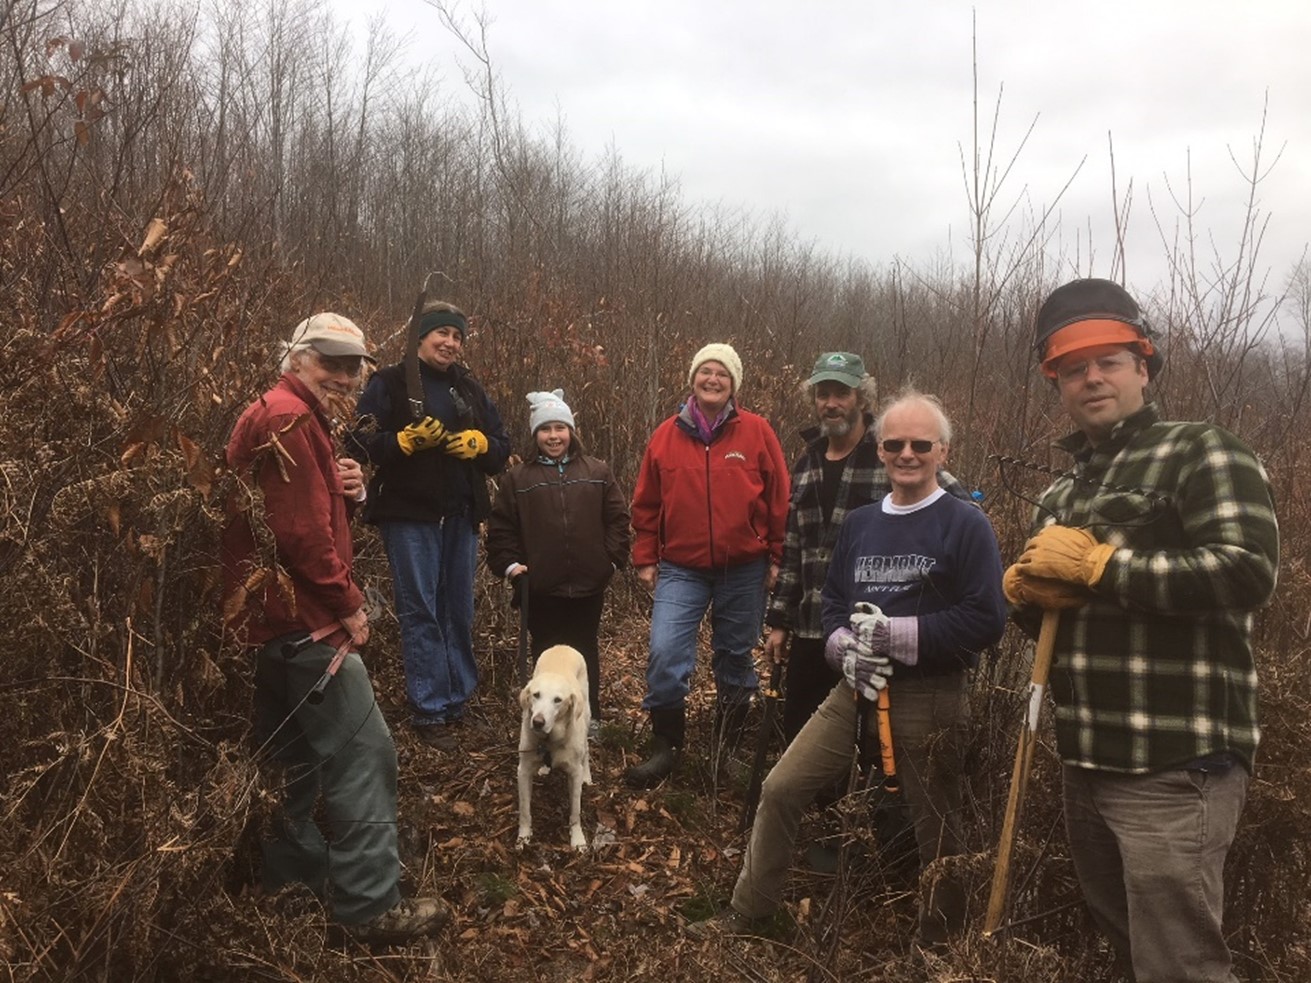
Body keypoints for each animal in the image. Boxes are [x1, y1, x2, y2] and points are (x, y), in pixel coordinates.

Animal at [513, 647, 592, 854]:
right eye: (536, 695)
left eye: (558, 700)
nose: (538, 722)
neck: (549, 741)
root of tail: (563, 646)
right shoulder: (523, 771)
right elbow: (525, 810)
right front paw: (523, 837)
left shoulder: (574, 773)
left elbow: (575, 811)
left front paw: (578, 839)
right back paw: (544, 768)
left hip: (586, 716)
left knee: (587, 749)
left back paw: (588, 776)